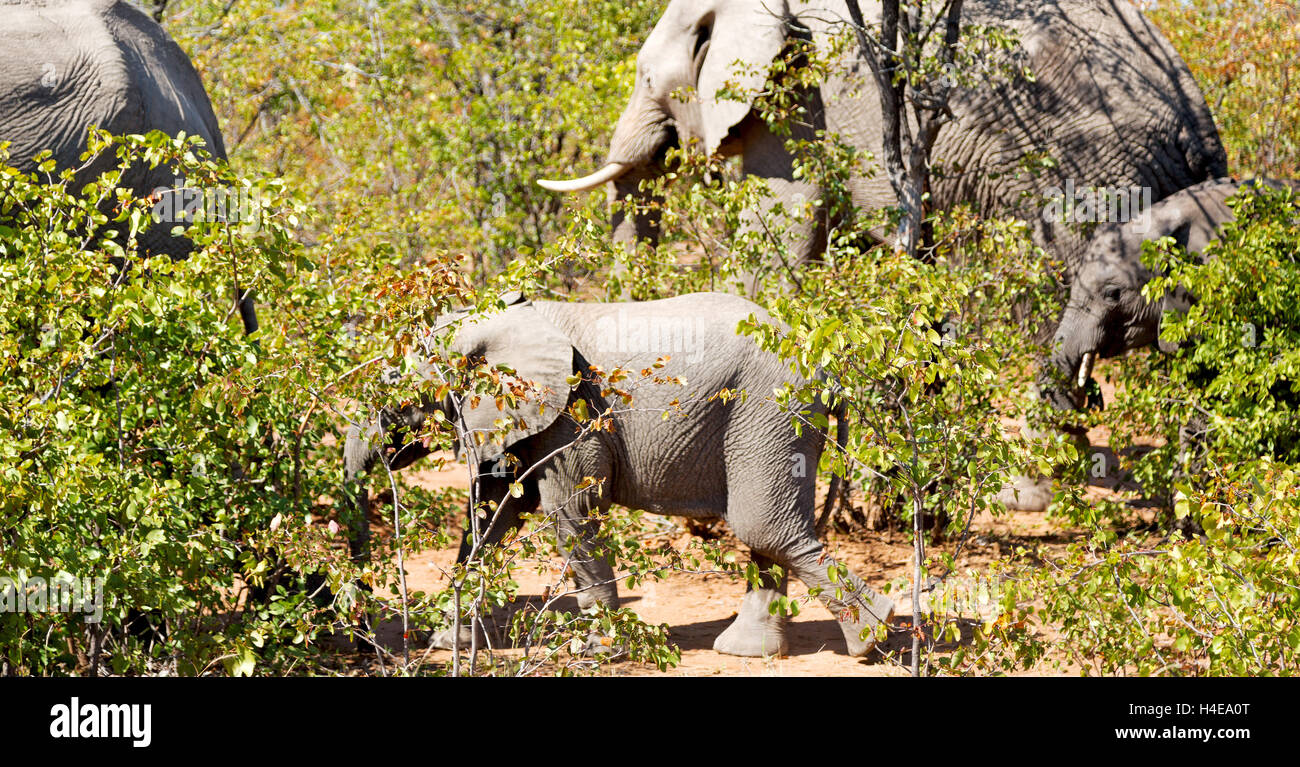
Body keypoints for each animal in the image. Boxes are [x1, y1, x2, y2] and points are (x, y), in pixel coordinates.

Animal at [343, 291, 895, 658]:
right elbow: (493, 511)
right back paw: (750, 652)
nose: (370, 646)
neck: (490, 321)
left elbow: (570, 512)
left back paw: (874, 636)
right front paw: (445, 642)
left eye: (393, 397)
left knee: (763, 526)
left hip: (771, 409)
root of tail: (828, 366)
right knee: (768, 530)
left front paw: (595, 651)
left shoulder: (571, 414)